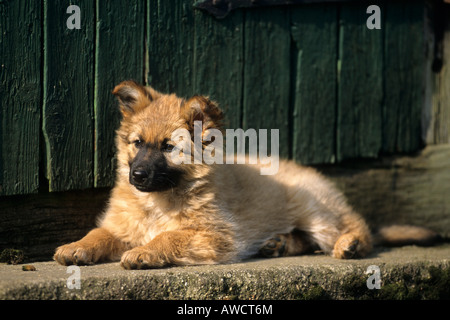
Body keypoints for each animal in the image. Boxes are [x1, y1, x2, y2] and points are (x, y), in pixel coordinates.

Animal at [52, 81, 436, 268]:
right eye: (137, 143)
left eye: (168, 147)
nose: (138, 176)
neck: (158, 202)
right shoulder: (121, 226)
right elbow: (98, 234)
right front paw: (77, 247)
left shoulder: (216, 236)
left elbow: (169, 237)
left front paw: (145, 252)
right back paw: (278, 243)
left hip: (315, 211)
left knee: (358, 228)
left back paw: (350, 245)